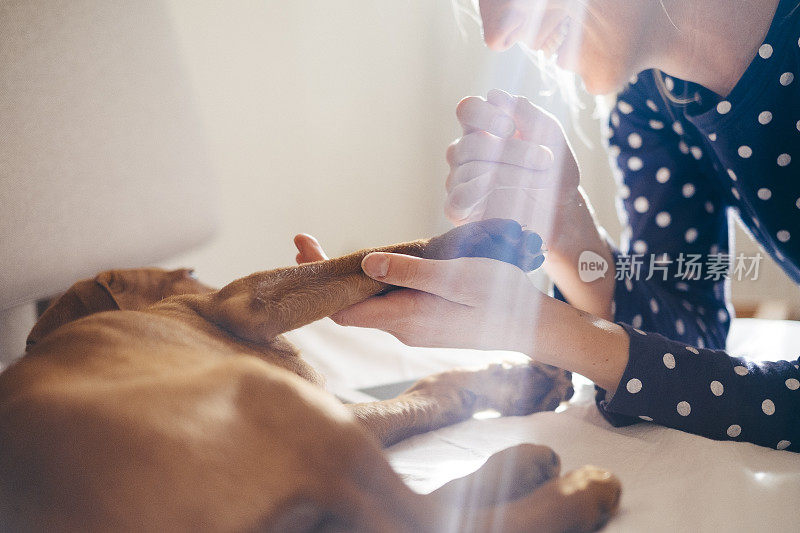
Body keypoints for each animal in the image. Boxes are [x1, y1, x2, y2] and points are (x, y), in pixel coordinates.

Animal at [0, 218, 620, 528]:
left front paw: (518, 383)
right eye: (191, 273)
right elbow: (372, 258)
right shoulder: (248, 302)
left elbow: (432, 391)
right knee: (415, 518)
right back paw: (565, 485)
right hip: (273, 397)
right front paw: (482, 238)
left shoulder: (351, 414)